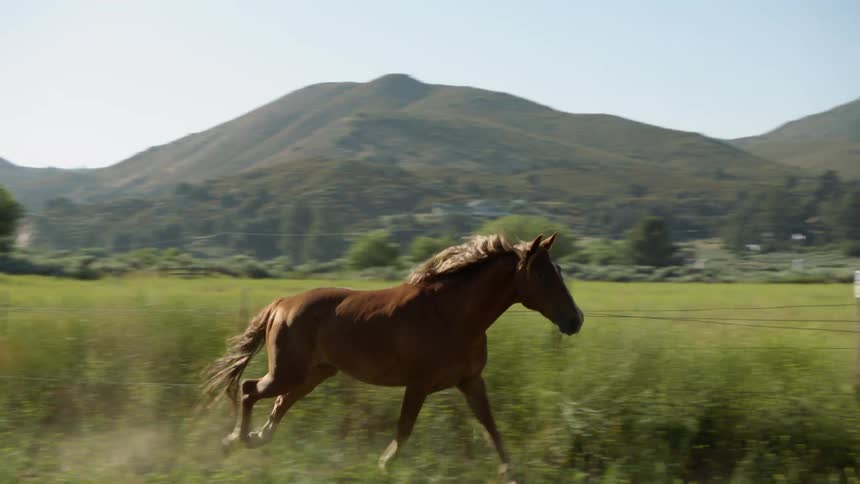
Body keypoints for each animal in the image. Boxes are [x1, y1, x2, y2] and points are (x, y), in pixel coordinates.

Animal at [202, 232, 584, 481]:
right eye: (543, 274)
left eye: (559, 271)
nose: (575, 320)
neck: (453, 315)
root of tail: (282, 304)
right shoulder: (418, 384)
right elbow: (405, 428)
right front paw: (385, 464)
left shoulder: (471, 381)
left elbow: (490, 424)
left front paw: (510, 472)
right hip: (289, 371)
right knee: (250, 389)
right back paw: (234, 440)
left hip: (314, 373)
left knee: (279, 402)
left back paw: (254, 439)